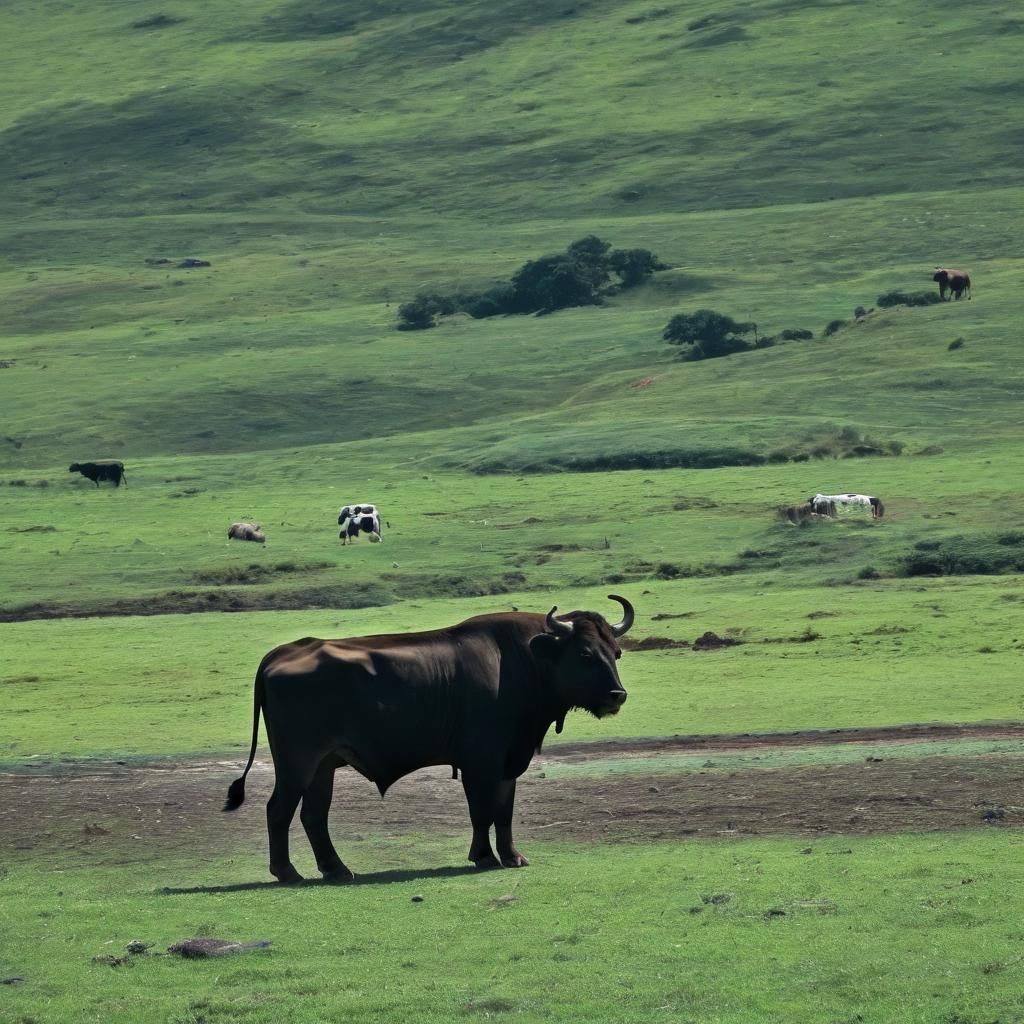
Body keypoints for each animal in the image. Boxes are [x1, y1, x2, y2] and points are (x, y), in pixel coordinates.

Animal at [224, 595, 635, 883]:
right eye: (585, 654)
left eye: (615, 653)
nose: (617, 695)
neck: (521, 659)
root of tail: (287, 650)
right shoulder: (479, 762)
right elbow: (481, 811)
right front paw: (483, 856)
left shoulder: (508, 763)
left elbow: (503, 812)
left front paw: (512, 857)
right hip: (297, 764)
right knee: (278, 810)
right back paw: (287, 872)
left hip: (322, 767)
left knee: (314, 816)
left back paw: (336, 869)